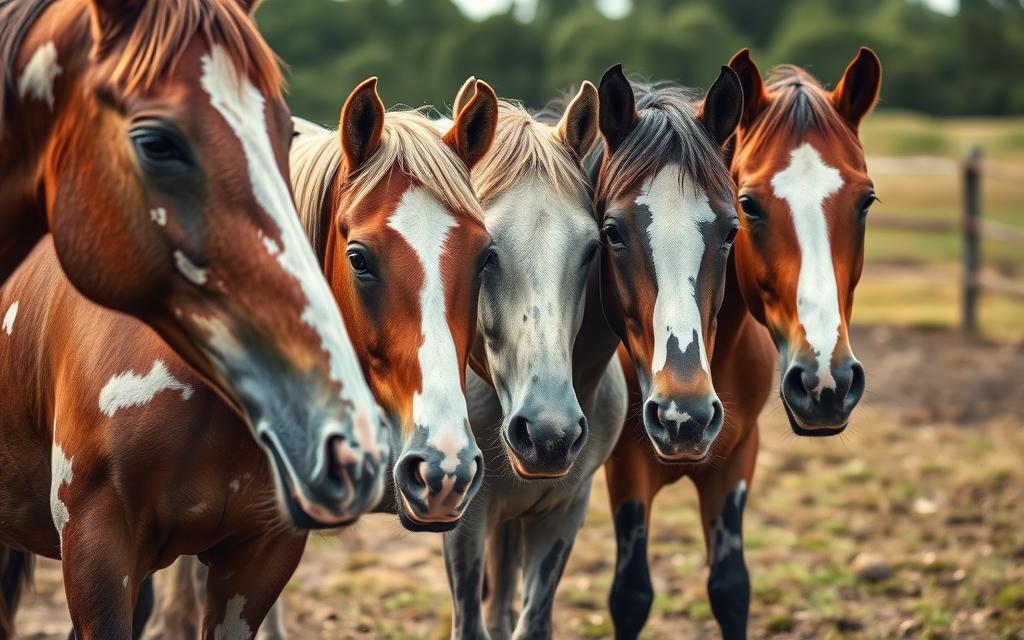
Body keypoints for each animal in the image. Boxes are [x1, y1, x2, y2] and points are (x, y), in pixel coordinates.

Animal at [446, 66, 745, 638]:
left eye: (730, 231)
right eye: (614, 233)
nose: (686, 417)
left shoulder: (564, 509)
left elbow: (531, 621)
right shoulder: (463, 520)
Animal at [602, 49, 884, 638]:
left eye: (866, 201)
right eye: (750, 205)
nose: (826, 384)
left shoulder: (736, 459)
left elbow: (730, 588)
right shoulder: (625, 467)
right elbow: (631, 594)